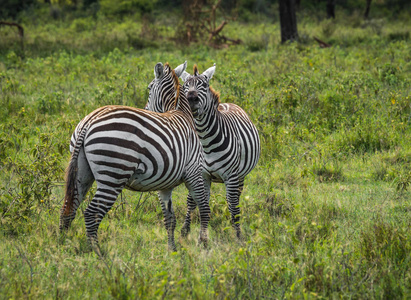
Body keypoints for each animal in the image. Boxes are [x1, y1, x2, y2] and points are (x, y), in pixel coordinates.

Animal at [59, 61, 211, 253]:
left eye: (149, 88)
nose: (146, 108)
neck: (182, 113)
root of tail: (89, 120)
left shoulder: (165, 184)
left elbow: (170, 219)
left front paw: (172, 250)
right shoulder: (194, 172)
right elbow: (204, 208)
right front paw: (203, 244)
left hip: (82, 172)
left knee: (68, 208)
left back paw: (62, 244)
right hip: (113, 174)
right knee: (91, 213)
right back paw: (97, 252)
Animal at [178, 63, 260, 239]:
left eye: (204, 85)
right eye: (185, 86)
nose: (191, 99)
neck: (206, 142)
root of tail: (227, 104)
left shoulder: (231, 176)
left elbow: (233, 206)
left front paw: (238, 236)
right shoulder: (203, 174)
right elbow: (197, 204)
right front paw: (191, 232)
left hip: (240, 175)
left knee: (235, 200)